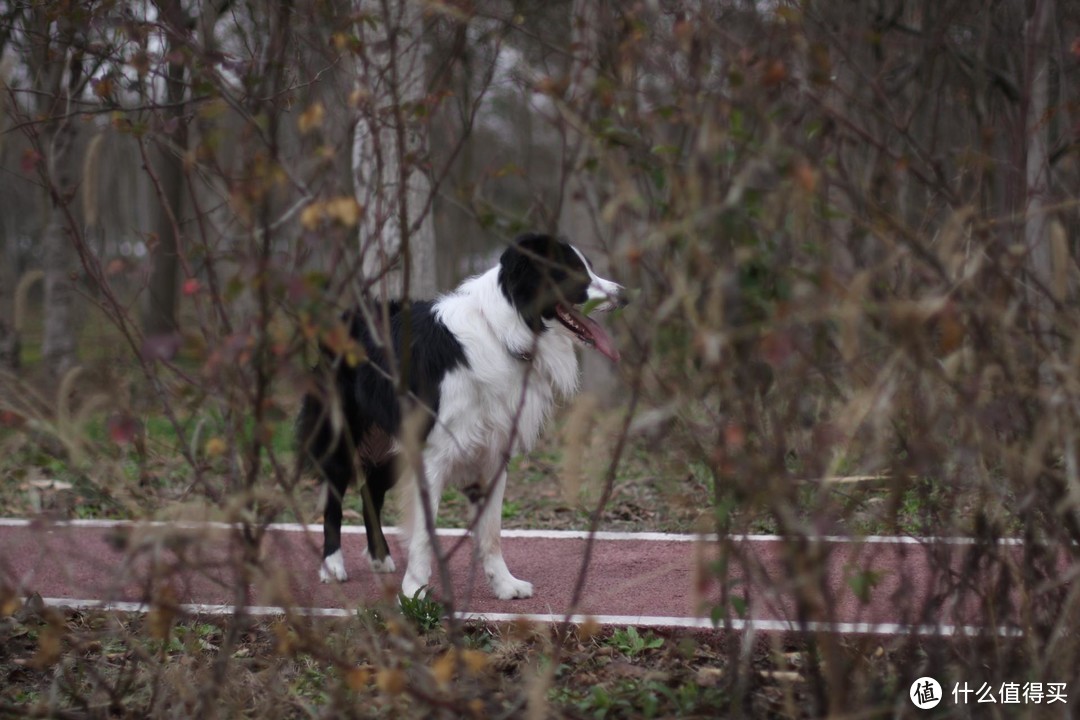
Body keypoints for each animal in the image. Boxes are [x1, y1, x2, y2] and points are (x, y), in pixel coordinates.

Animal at [302, 234, 626, 600]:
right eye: (570, 273)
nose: (624, 295)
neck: (504, 332)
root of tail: (347, 315)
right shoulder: (432, 454)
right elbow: (424, 531)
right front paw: (414, 592)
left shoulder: (494, 451)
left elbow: (492, 531)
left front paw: (504, 585)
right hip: (342, 432)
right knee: (334, 495)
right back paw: (332, 565)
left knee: (370, 489)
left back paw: (380, 558)